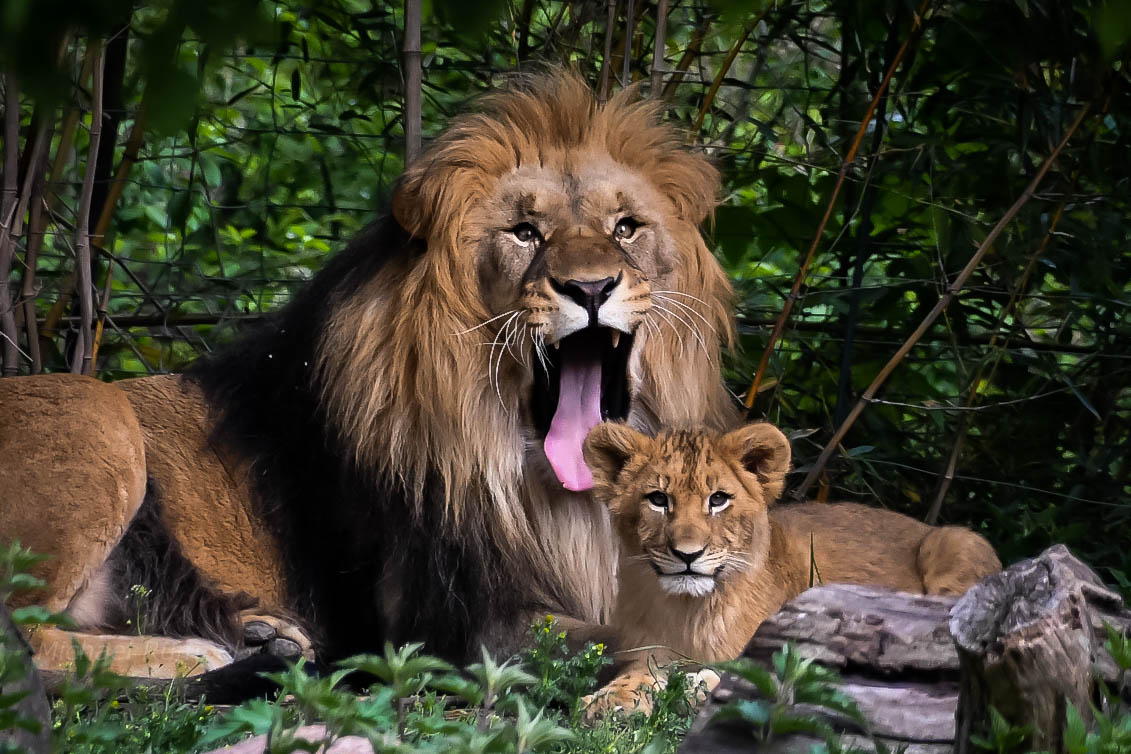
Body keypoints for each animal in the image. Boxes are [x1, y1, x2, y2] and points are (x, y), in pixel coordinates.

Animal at [0, 72, 739, 686]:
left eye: (626, 228)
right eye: (525, 231)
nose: (590, 288)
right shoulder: (454, 624)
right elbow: (628, 635)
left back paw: (262, 636)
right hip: (95, 412)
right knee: (24, 639)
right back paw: (192, 652)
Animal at [580, 421, 1001, 717]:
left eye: (718, 499)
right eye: (657, 499)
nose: (688, 555)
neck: (688, 612)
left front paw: (697, 685)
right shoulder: (644, 652)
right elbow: (637, 675)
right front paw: (607, 700)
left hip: (957, 543)